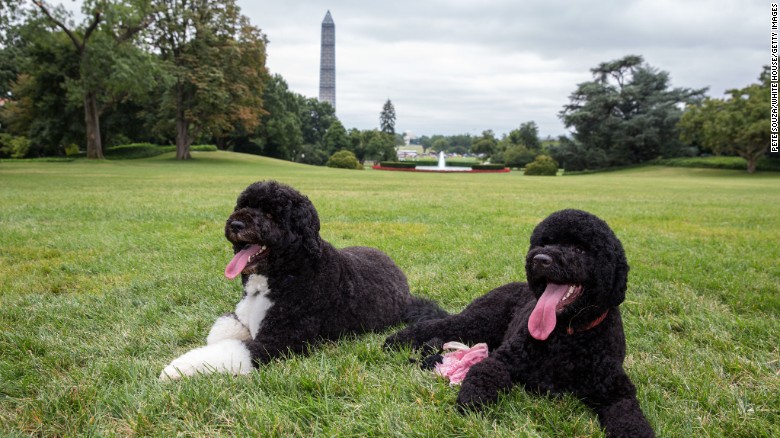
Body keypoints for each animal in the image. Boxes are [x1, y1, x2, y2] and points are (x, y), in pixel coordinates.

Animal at [386, 210, 656, 438]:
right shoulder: (504, 360)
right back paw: (395, 340)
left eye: (579, 249)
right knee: (439, 325)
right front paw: (473, 402)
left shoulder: (616, 391)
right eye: (543, 242)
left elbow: (630, 417)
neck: (567, 335)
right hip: (478, 322)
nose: (540, 259)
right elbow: (485, 372)